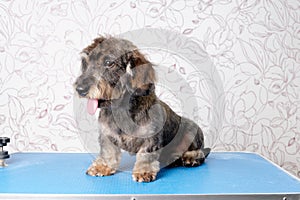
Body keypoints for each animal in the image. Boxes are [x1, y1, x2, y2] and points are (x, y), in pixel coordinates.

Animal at [74, 36, 211, 183]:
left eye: (109, 63)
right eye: (85, 62)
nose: (80, 89)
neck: (121, 108)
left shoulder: (150, 138)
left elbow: (146, 155)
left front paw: (143, 171)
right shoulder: (107, 135)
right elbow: (108, 152)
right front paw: (102, 167)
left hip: (192, 128)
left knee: (200, 152)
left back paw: (190, 157)